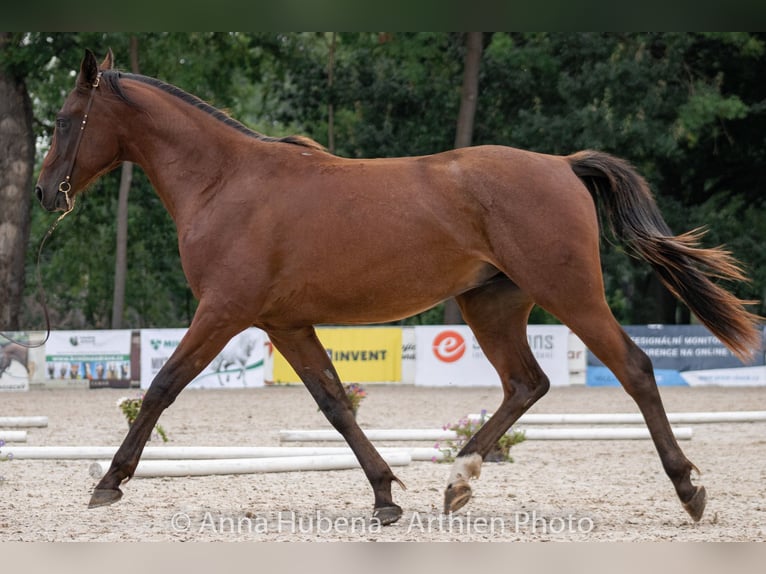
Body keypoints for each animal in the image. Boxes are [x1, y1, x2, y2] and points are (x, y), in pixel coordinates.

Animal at [34, 50, 760, 528]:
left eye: (66, 120)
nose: (44, 194)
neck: (225, 181)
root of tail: (562, 165)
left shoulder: (223, 312)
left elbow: (161, 386)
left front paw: (109, 482)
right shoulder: (282, 323)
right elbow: (334, 402)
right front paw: (386, 494)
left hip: (570, 294)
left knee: (633, 368)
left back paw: (688, 490)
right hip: (492, 304)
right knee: (526, 384)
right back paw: (459, 482)